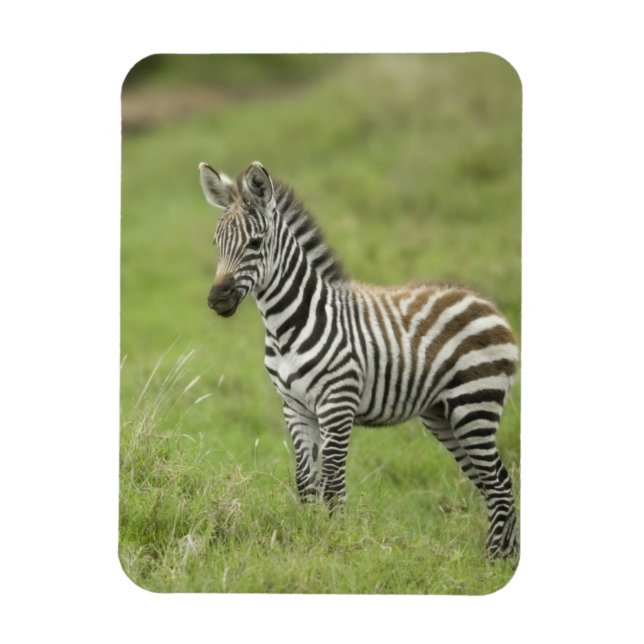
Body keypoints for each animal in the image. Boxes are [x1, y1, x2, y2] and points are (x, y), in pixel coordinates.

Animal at [199, 160, 519, 558]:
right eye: (216, 243)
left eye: (255, 243)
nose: (216, 299)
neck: (287, 326)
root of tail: (486, 302)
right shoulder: (294, 407)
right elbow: (306, 484)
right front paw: (308, 539)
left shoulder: (337, 404)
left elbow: (333, 486)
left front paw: (332, 546)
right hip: (444, 416)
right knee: (492, 484)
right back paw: (506, 558)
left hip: (474, 405)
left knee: (500, 484)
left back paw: (494, 561)